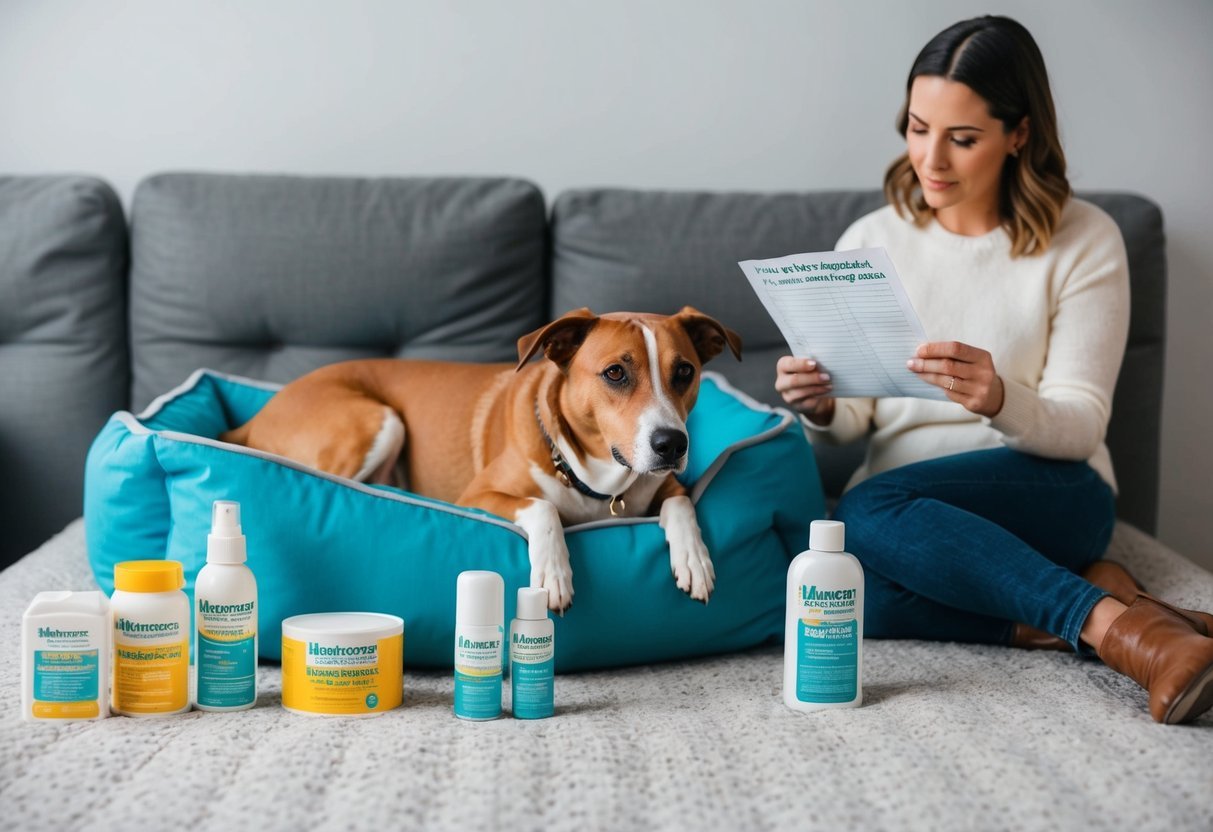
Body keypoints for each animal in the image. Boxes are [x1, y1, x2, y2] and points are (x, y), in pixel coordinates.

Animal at [223, 306, 742, 613]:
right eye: (615, 373)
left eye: (685, 372)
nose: (672, 444)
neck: (598, 481)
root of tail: (258, 414)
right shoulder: (479, 494)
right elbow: (543, 507)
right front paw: (553, 574)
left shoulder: (666, 482)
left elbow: (682, 501)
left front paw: (694, 558)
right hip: (379, 422)